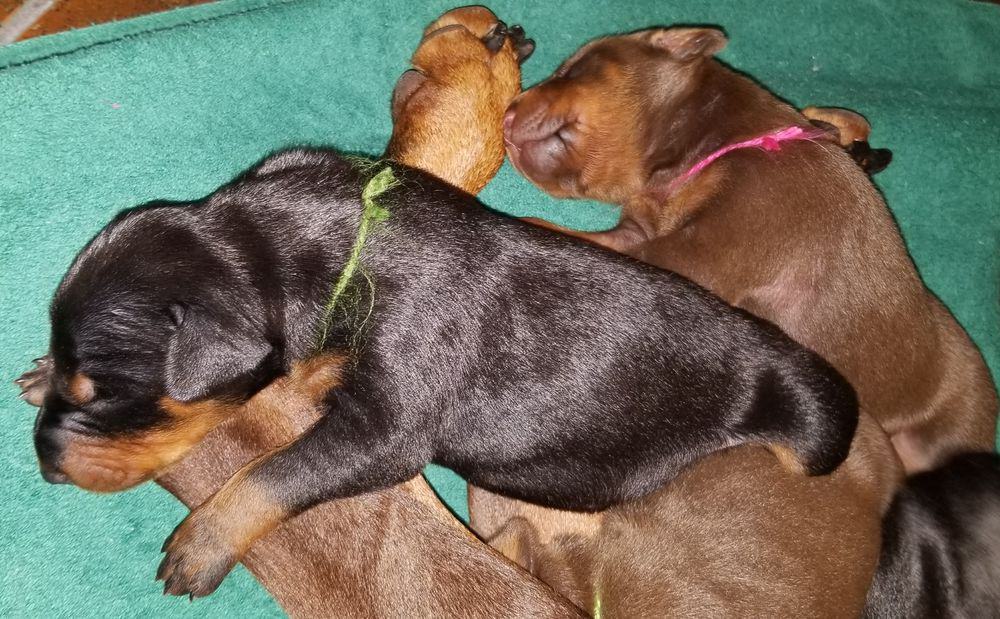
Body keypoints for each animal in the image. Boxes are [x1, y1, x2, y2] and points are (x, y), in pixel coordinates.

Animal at [33, 148, 860, 600]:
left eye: (105, 397)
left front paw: (203, 540)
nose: (44, 463)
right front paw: (38, 370)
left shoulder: (390, 427)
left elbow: (277, 471)